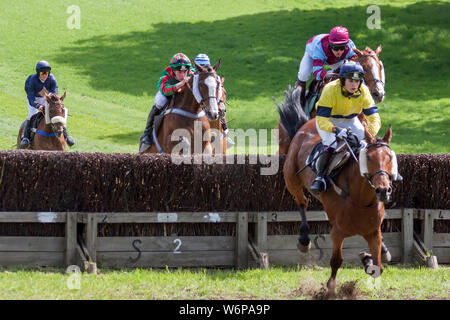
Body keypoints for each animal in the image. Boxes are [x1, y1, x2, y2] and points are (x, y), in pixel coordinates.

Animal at [278, 92, 400, 298]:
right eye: (368, 158)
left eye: (390, 158)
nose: (383, 190)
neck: (361, 199)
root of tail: (306, 123)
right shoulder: (337, 232)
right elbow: (336, 261)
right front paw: (330, 289)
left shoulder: (374, 232)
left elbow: (378, 267)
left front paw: (367, 258)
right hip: (291, 179)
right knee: (302, 202)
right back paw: (304, 240)